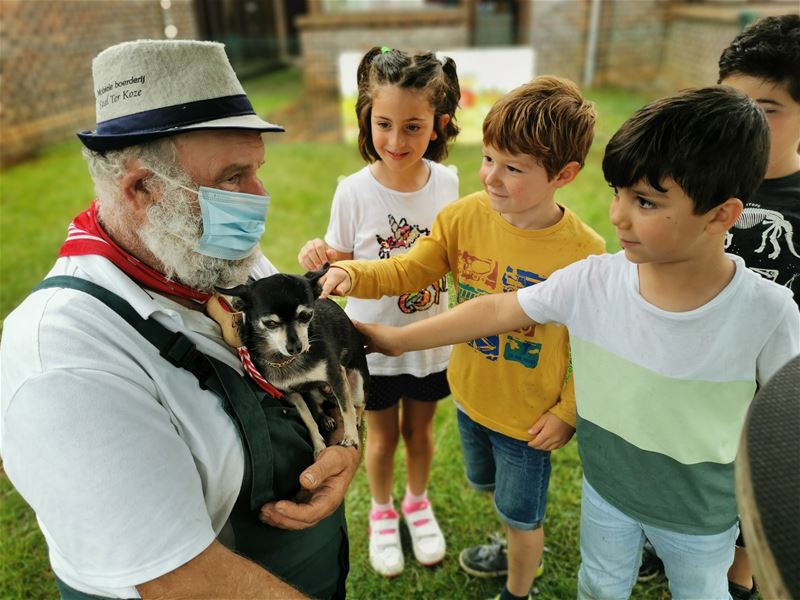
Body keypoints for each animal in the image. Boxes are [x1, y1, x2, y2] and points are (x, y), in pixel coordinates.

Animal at [219, 264, 368, 458]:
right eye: (270, 323)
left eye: (306, 316)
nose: (296, 347)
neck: (283, 360)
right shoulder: (291, 394)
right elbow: (308, 419)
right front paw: (319, 446)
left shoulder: (336, 376)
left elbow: (346, 409)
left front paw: (350, 437)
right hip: (313, 393)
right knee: (318, 408)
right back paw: (325, 419)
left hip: (356, 384)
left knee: (359, 404)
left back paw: (356, 418)